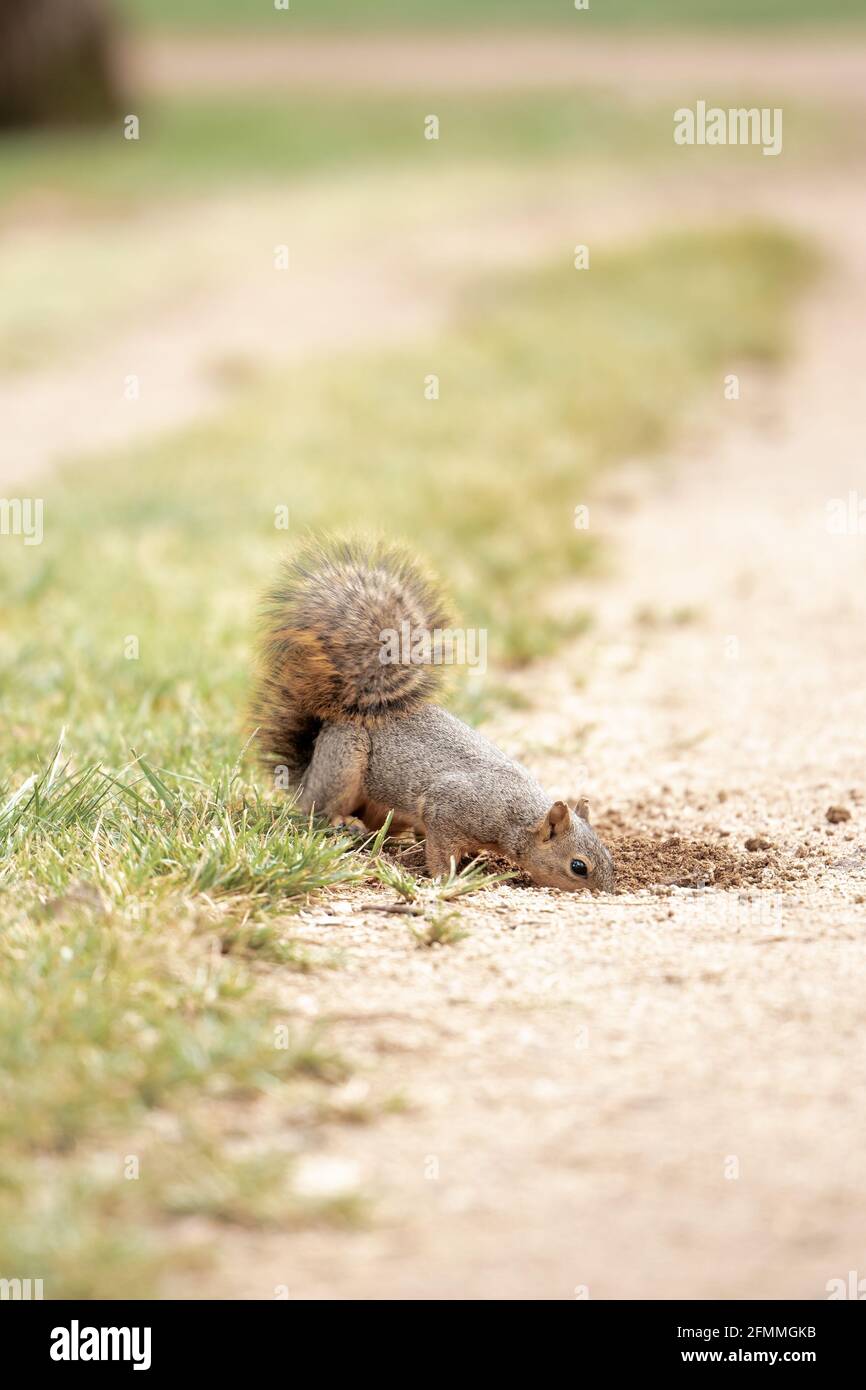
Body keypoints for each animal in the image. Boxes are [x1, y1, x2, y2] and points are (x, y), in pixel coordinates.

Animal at [250, 536, 617, 895]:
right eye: (578, 866)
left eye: (609, 856)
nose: (606, 893)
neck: (517, 816)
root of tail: (308, 772)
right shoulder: (447, 808)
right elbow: (441, 850)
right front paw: (449, 878)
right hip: (342, 765)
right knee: (321, 808)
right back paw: (342, 821)